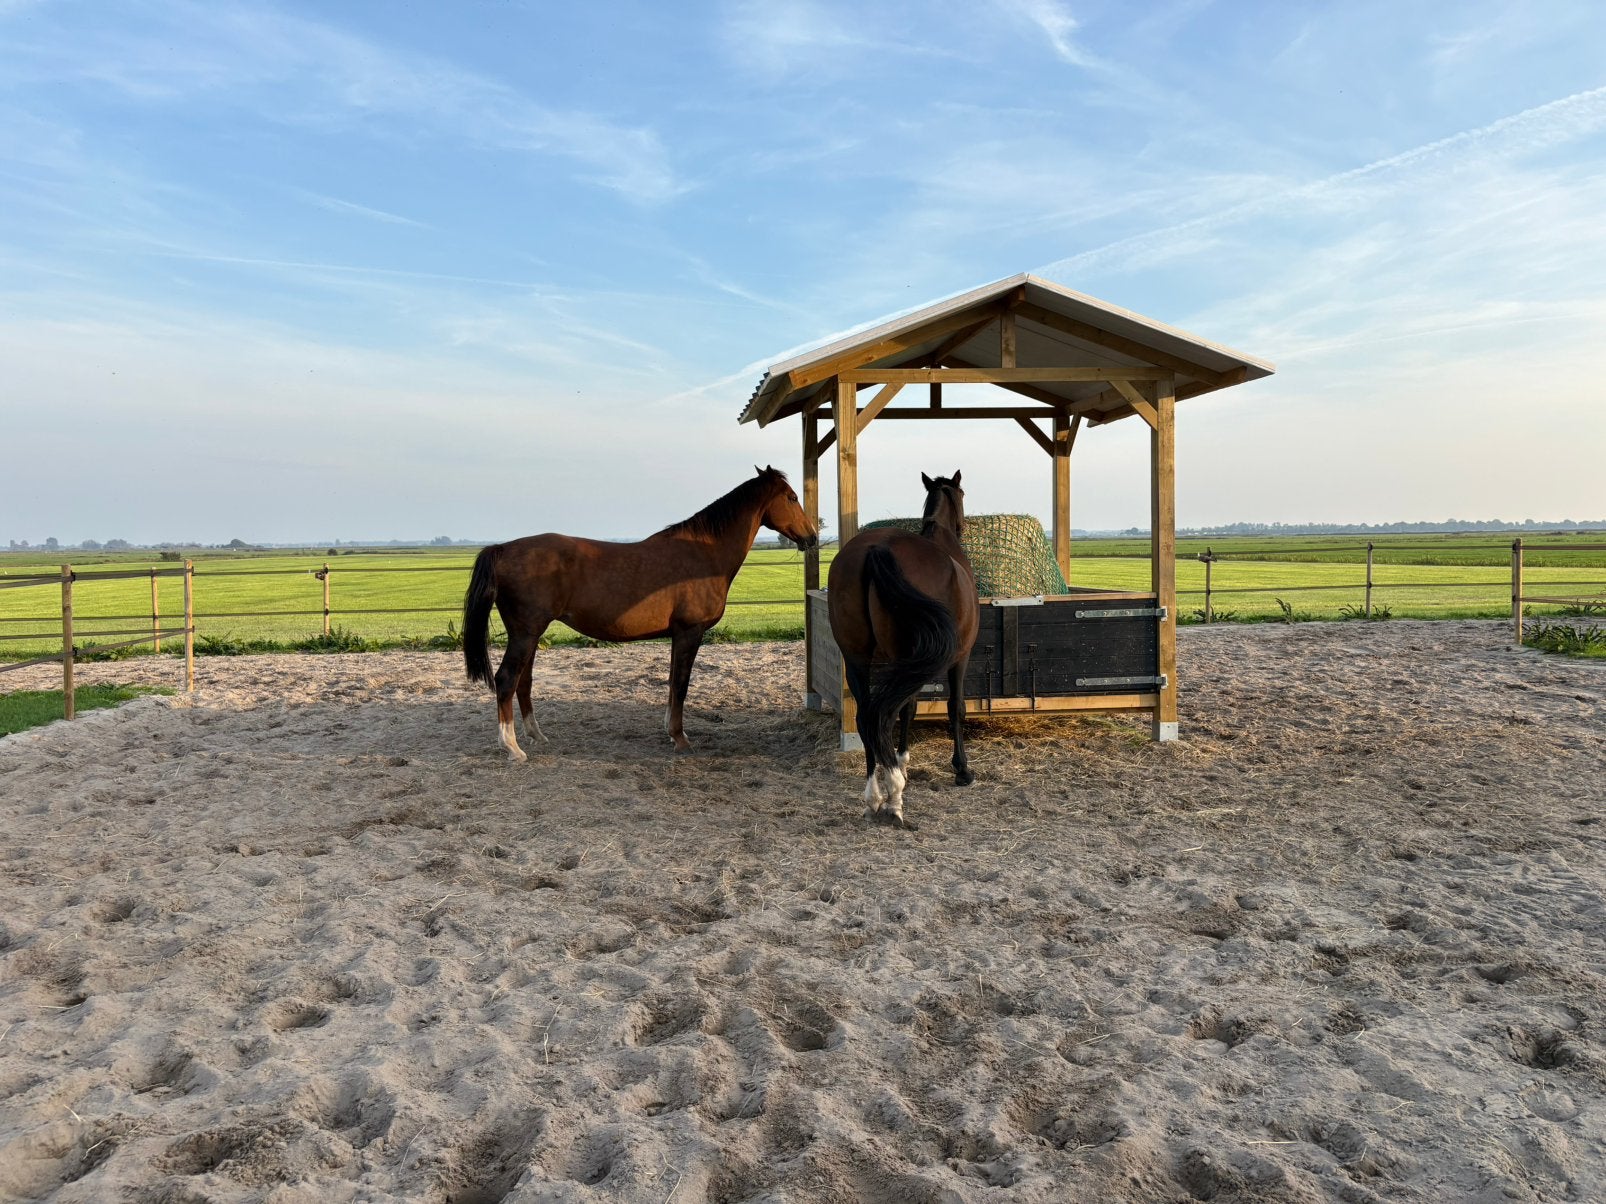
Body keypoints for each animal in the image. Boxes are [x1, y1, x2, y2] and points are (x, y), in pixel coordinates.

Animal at [463, 466, 817, 759]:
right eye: (792, 497)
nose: (812, 537)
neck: (704, 554)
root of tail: (502, 549)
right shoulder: (690, 632)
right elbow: (681, 684)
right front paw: (680, 738)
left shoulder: (678, 635)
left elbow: (673, 681)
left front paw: (670, 730)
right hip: (526, 634)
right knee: (506, 680)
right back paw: (512, 747)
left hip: (530, 634)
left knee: (523, 681)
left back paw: (536, 735)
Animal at [827, 471, 980, 828]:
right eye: (963, 494)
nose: (964, 527)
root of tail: (876, 549)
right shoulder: (960, 657)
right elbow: (954, 707)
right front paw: (961, 769)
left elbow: (908, 709)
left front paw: (900, 758)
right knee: (885, 713)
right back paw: (895, 797)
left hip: (857, 659)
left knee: (868, 715)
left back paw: (874, 796)